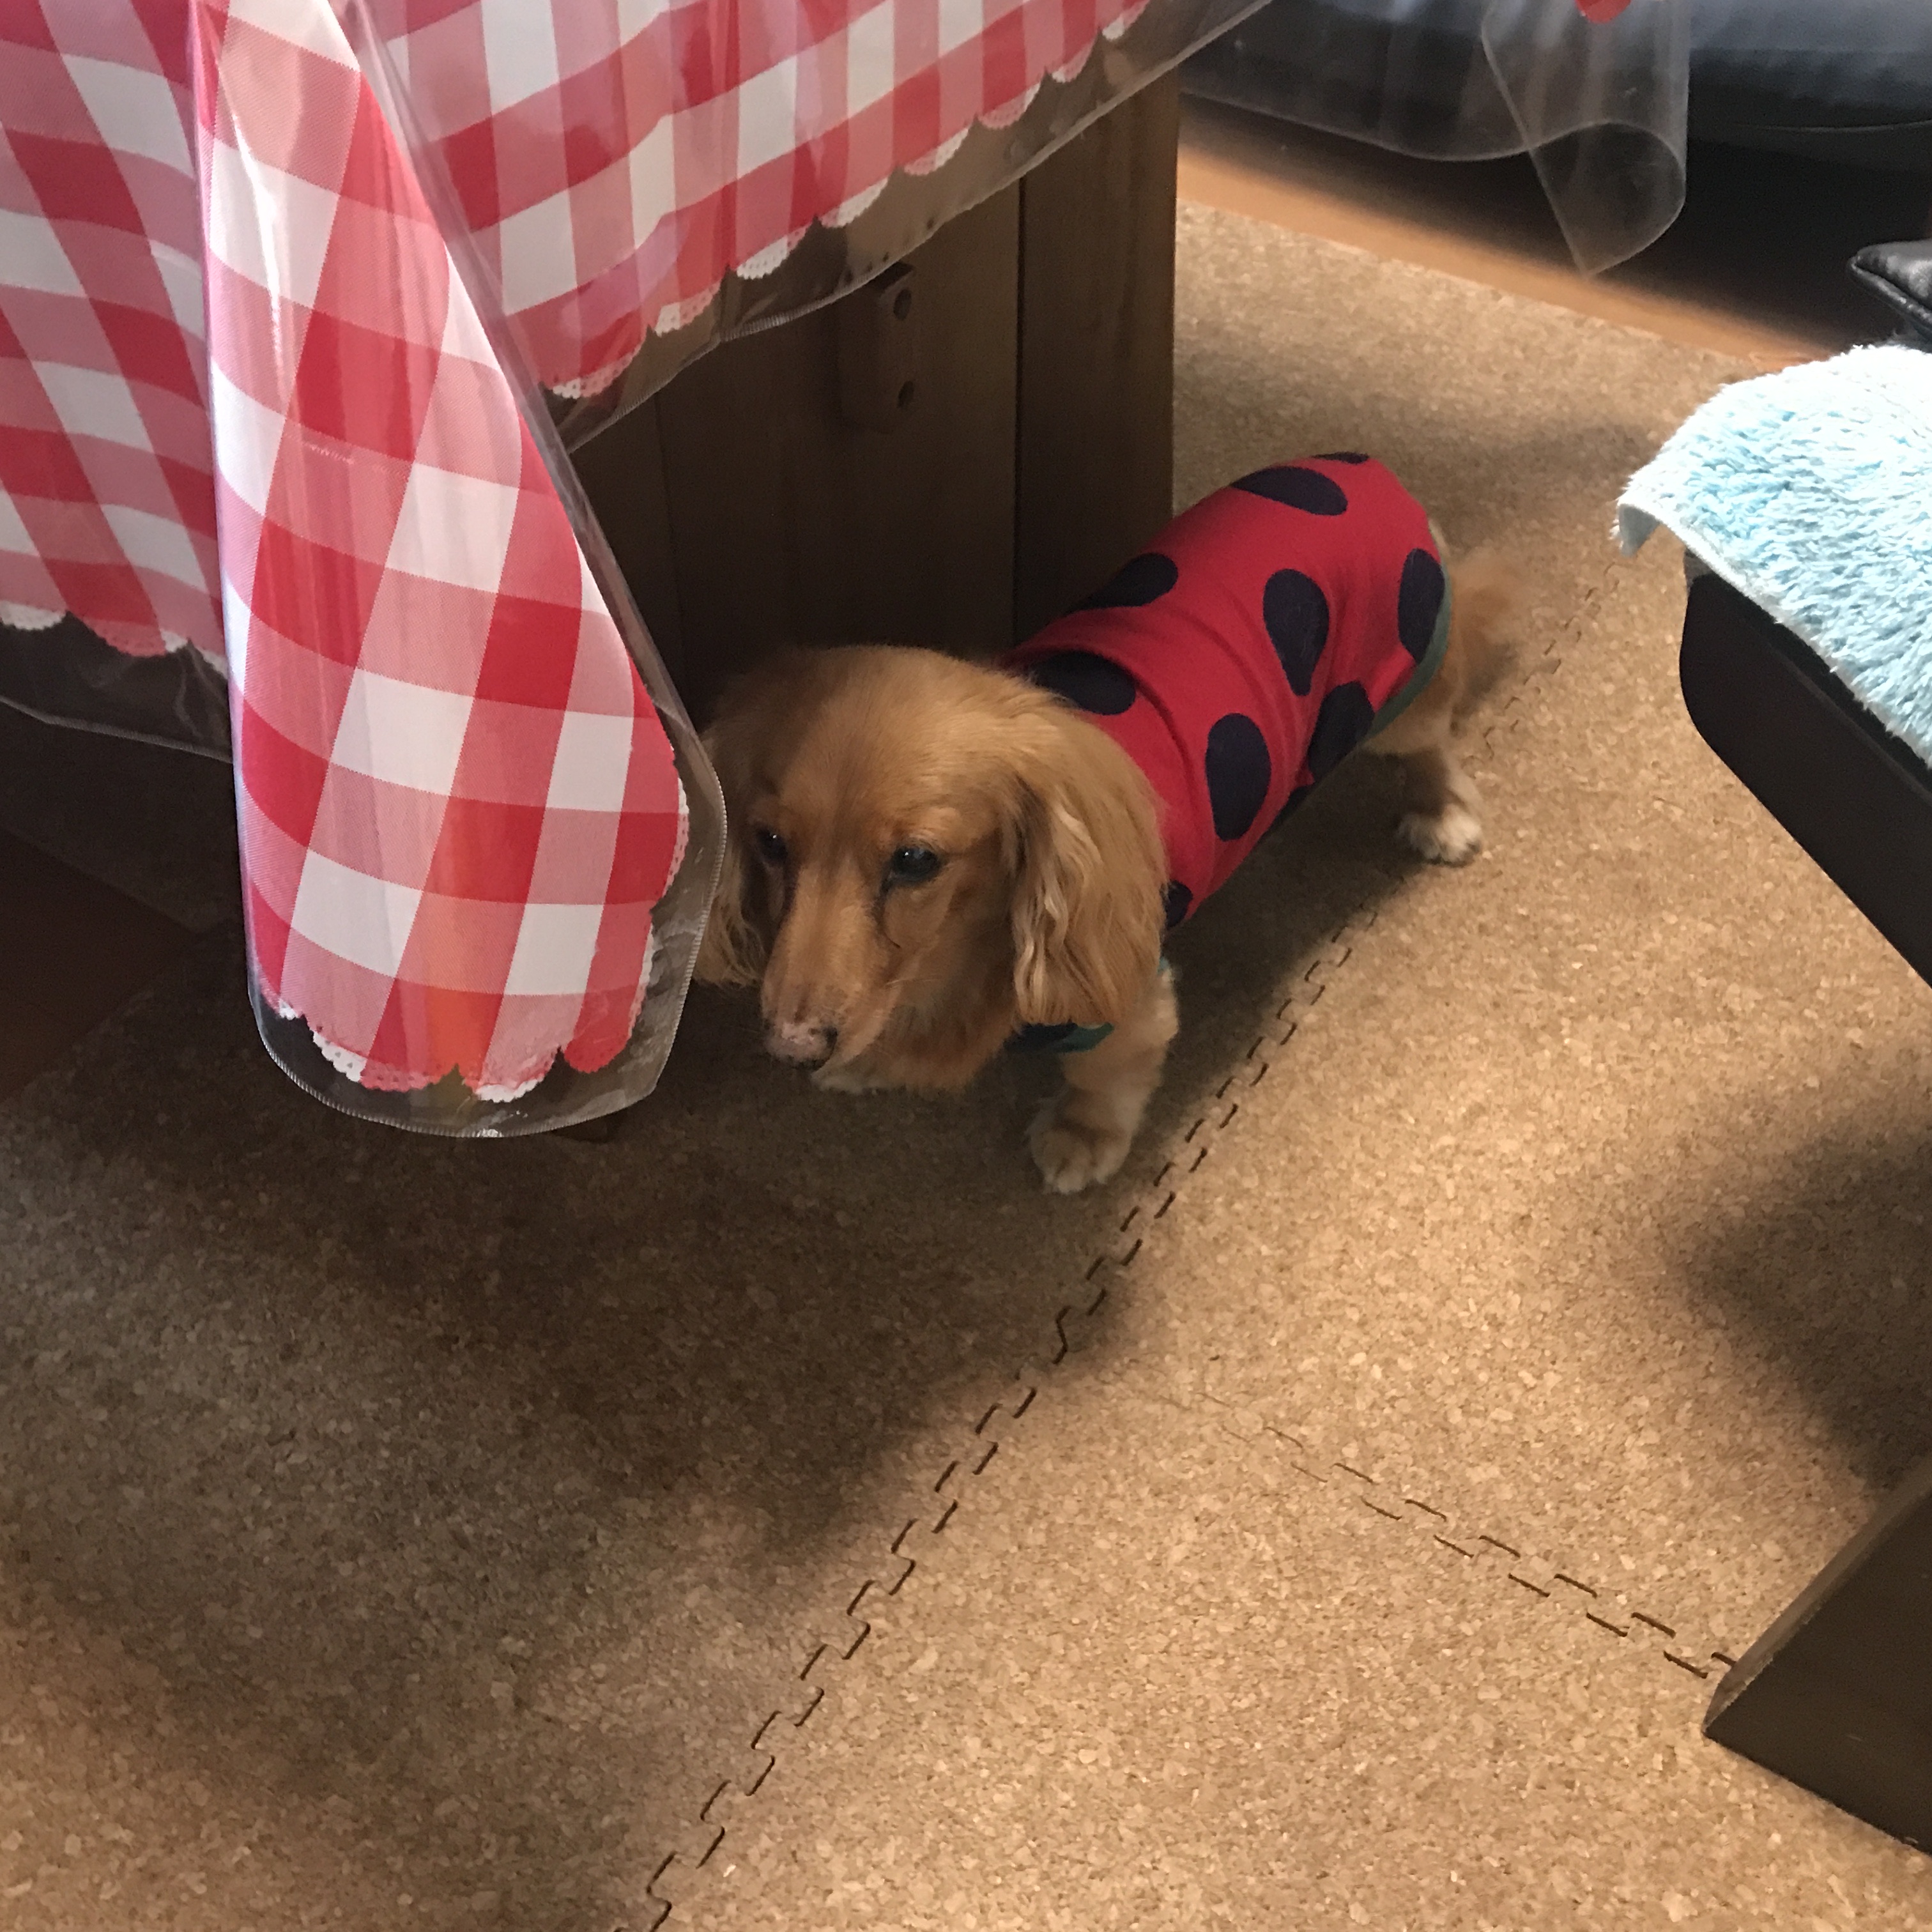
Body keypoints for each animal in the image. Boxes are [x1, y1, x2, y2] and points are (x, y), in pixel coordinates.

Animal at [696, 456, 1519, 1191]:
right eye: (772, 843)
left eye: (917, 860)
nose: (793, 1046)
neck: (958, 955)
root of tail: (1368, 469)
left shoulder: (1121, 997)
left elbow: (1103, 1073)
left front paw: (1081, 1137)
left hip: (1400, 706)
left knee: (1434, 742)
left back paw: (1442, 812)